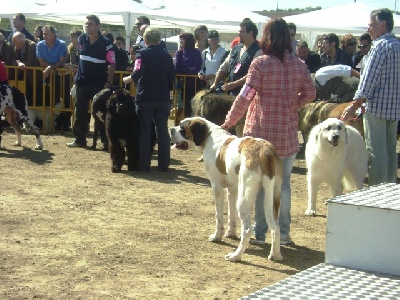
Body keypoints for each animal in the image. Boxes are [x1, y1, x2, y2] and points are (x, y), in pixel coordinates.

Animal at [170, 117, 282, 262]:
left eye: (182, 128)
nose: (171, 129)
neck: (209, 135)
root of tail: (264, 150)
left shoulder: (216, 187)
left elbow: (219, 215)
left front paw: (217, 236)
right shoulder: (232, 189)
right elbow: (231, 213)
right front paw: (231, 233)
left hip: (244, 199)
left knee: (247, 230)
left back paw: (236, 255)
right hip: (274, 197)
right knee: (276, 226)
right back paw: (275, 255)